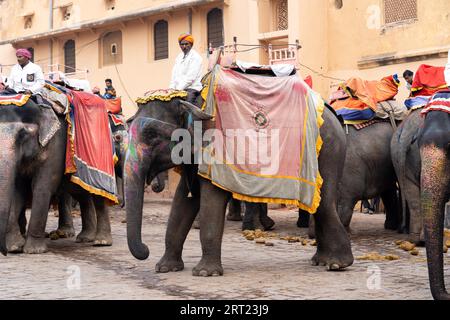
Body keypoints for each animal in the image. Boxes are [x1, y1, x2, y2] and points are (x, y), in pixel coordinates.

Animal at [0, 97, 66, 255]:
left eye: (22, 135)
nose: (4, 252)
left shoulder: (56, 145)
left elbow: (42, 187)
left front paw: (34, 251)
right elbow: (18, 190)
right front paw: (15, 247)